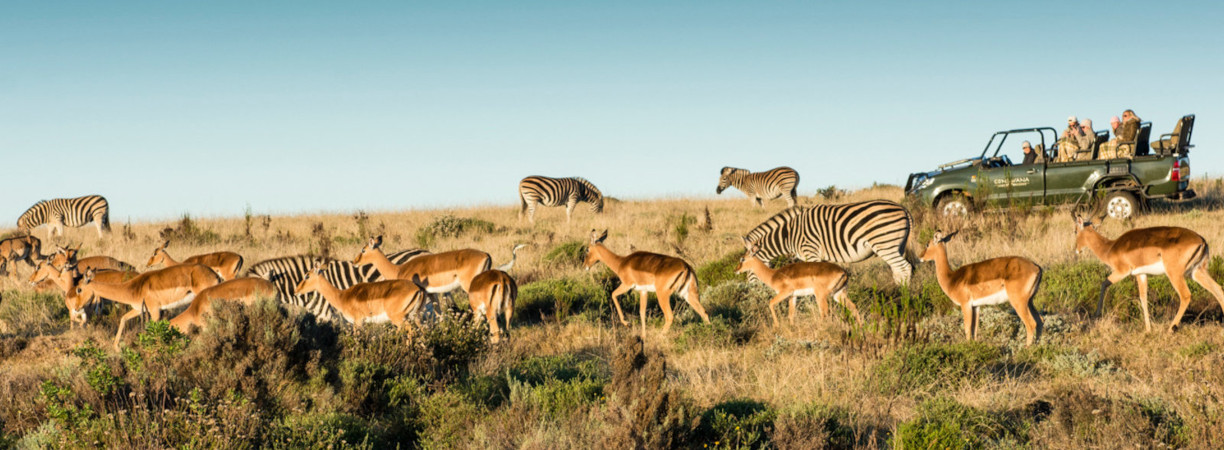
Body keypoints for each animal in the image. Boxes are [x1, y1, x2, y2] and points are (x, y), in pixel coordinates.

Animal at [739, 201, 915, 284]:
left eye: (748, 268)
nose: (751, 291)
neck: (789, 235)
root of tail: (903, 208)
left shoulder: (810, 252)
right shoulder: (819, 257)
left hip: (885, 244)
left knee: (904, 268)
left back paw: (906, 297)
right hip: (896, 246)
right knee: (898, 271)